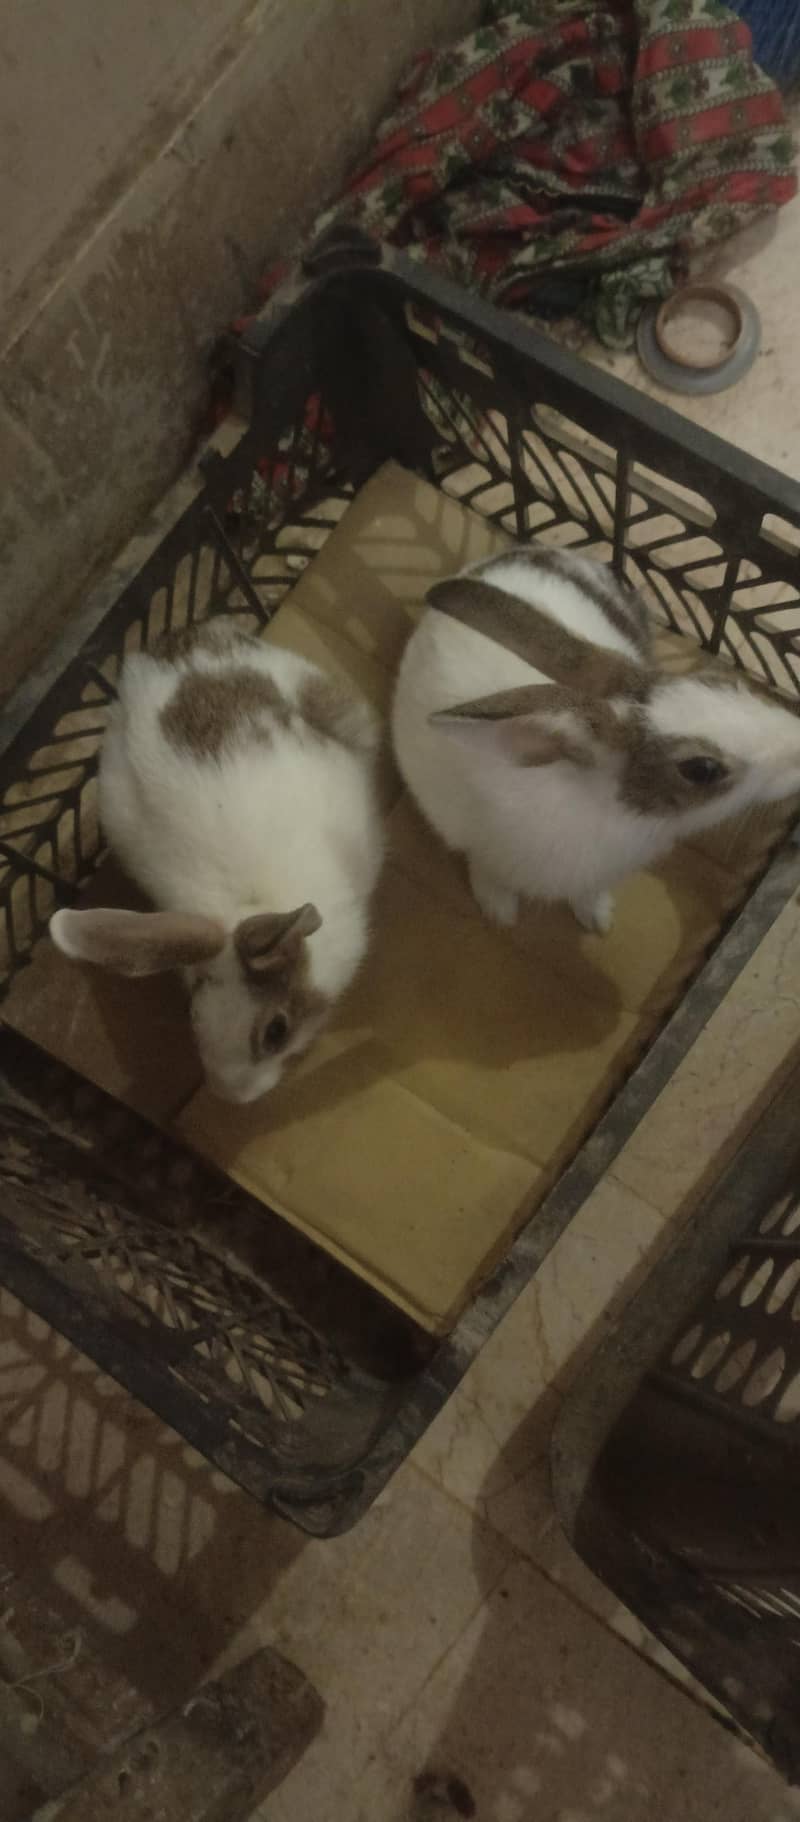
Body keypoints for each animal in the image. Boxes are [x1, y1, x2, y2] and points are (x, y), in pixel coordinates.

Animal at [391, 545, 800, 935]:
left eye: (718, 682)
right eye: (702, 769)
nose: (796, 743)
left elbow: (588, 894)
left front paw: (599, 918)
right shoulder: (478, 844)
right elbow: (488, 871)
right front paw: (499, 911)